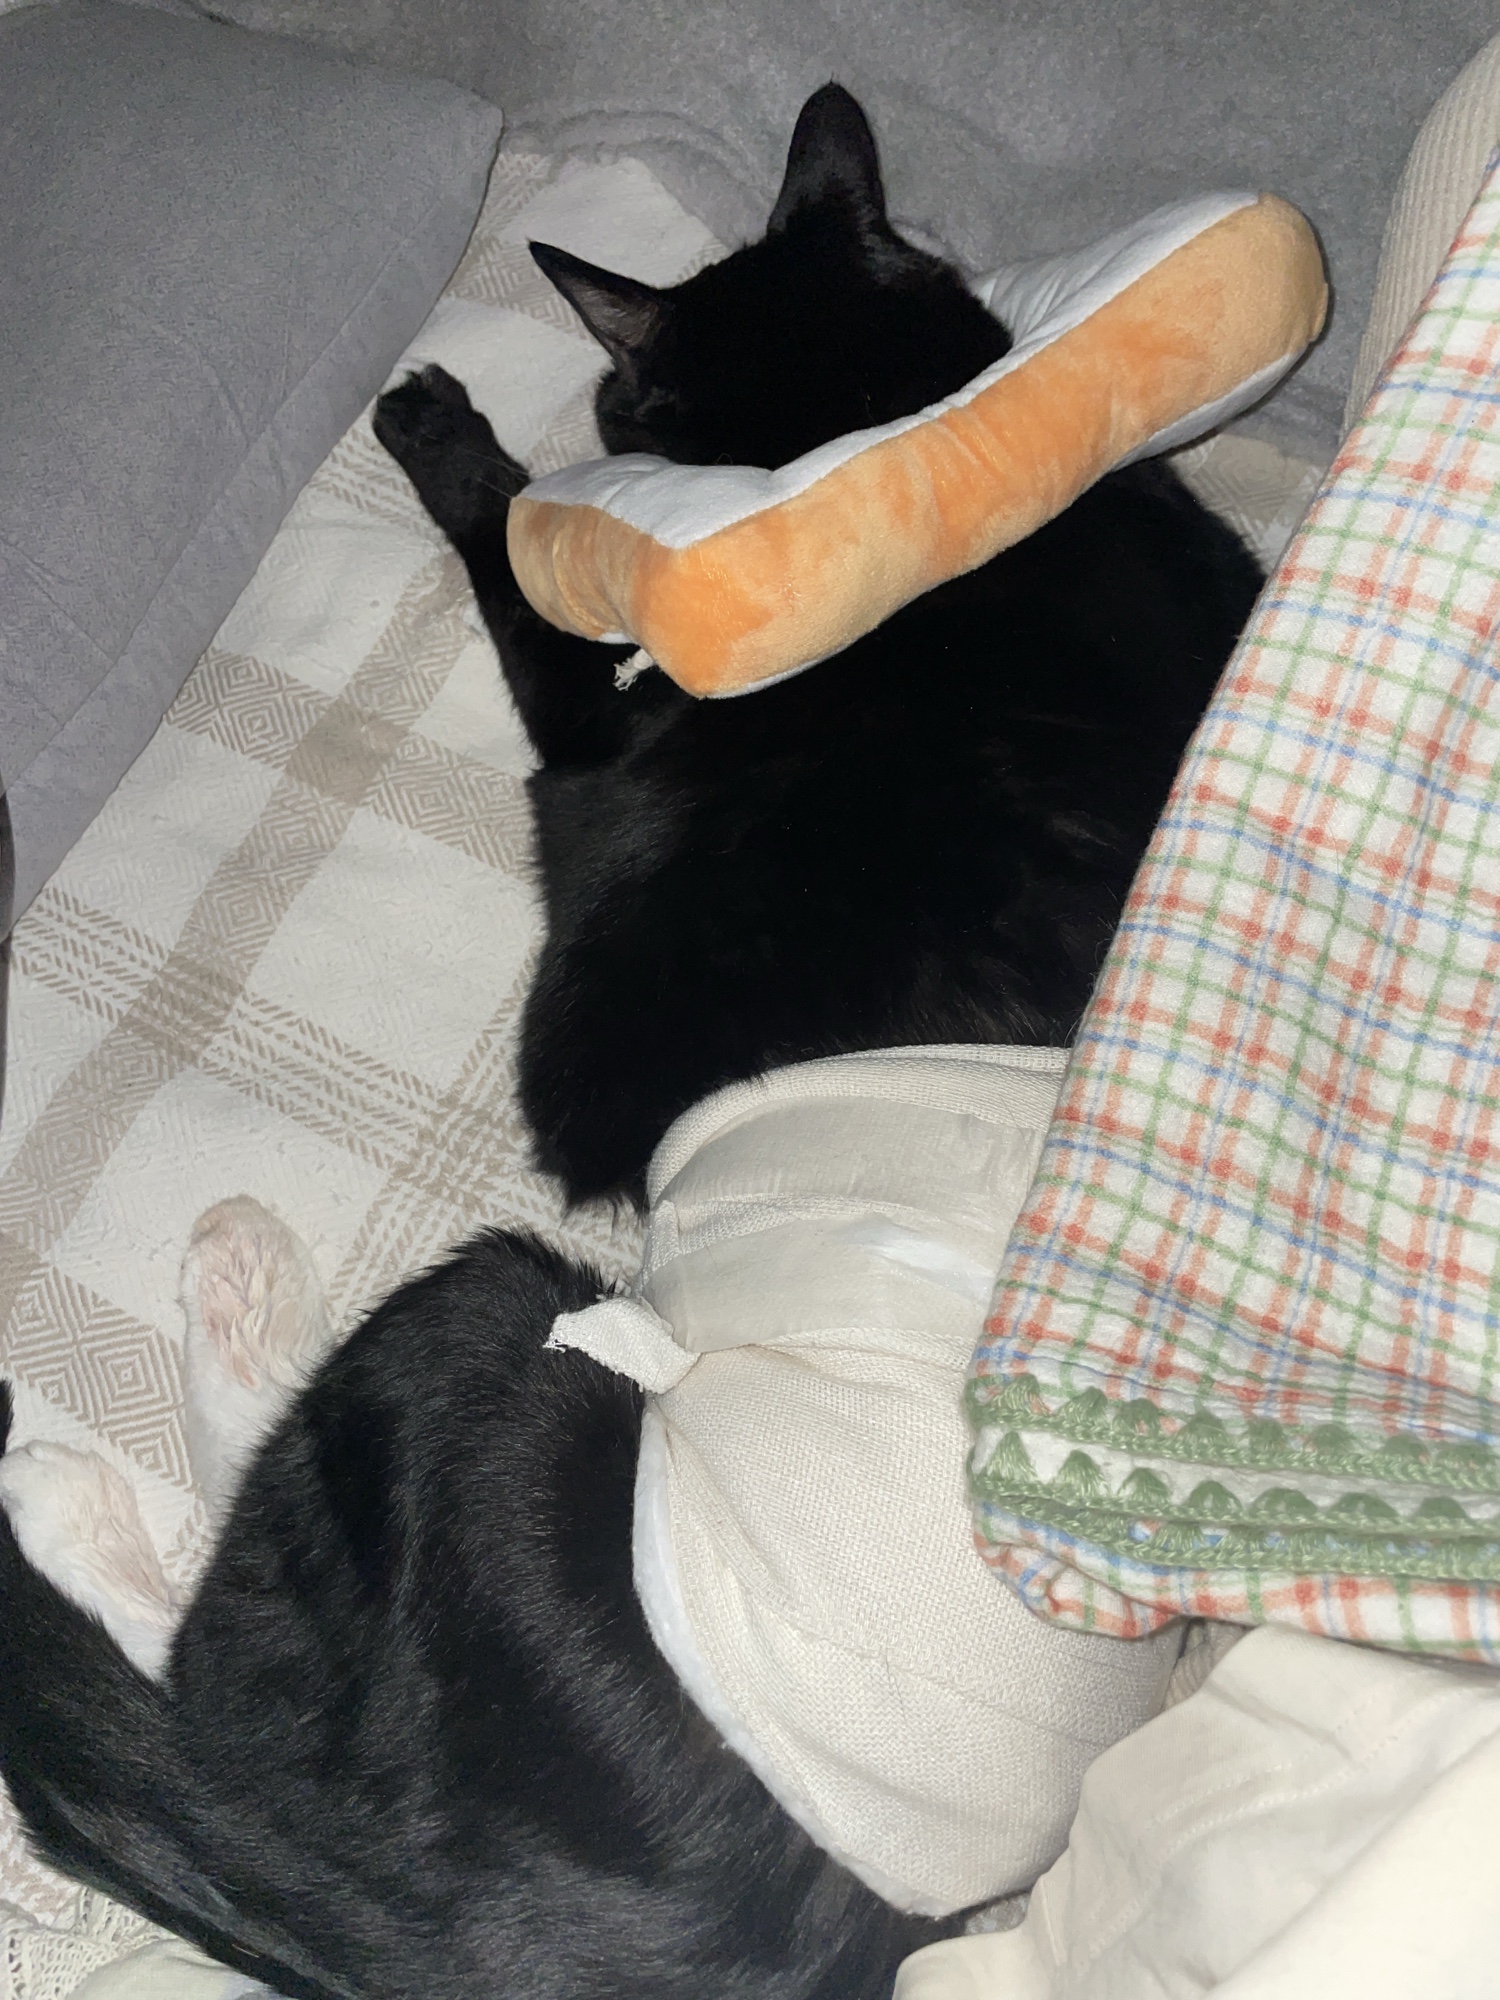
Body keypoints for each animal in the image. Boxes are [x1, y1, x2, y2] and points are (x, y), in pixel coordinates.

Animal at [372, 82, 1262, 1207]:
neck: (870, 430)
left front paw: (433, 425)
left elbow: (508, 540)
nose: (606, 402)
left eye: (618, 398)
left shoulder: (592, 715)